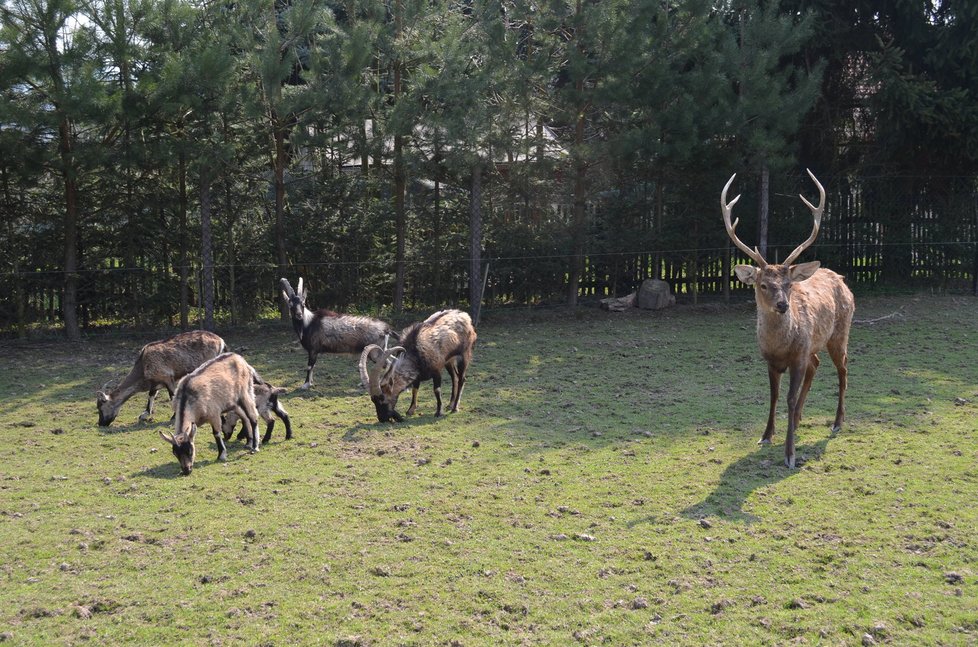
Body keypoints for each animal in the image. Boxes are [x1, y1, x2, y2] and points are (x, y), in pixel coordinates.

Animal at [96, 332, 225, 428]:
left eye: (100, 407)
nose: (101, 423)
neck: (143, 366)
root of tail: (220, 341)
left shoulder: (167, 377)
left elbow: (172, 396)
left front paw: (174, 417)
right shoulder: (155, 382)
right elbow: (151, 395)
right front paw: (144, 415)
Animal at [716, 170, 856, 468]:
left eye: (789, 284)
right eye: (763, 285)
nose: (782, 304)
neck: (781, 347)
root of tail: (841, 279)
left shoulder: (797, 356)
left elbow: (789, 398)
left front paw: (790, 454)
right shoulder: (770, 360)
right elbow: (774, 396)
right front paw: (766, 436)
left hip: (840, 333)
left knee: (843, 368)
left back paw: (837, 422)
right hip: (814, 346)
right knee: (816, 365)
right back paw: (801, 418)